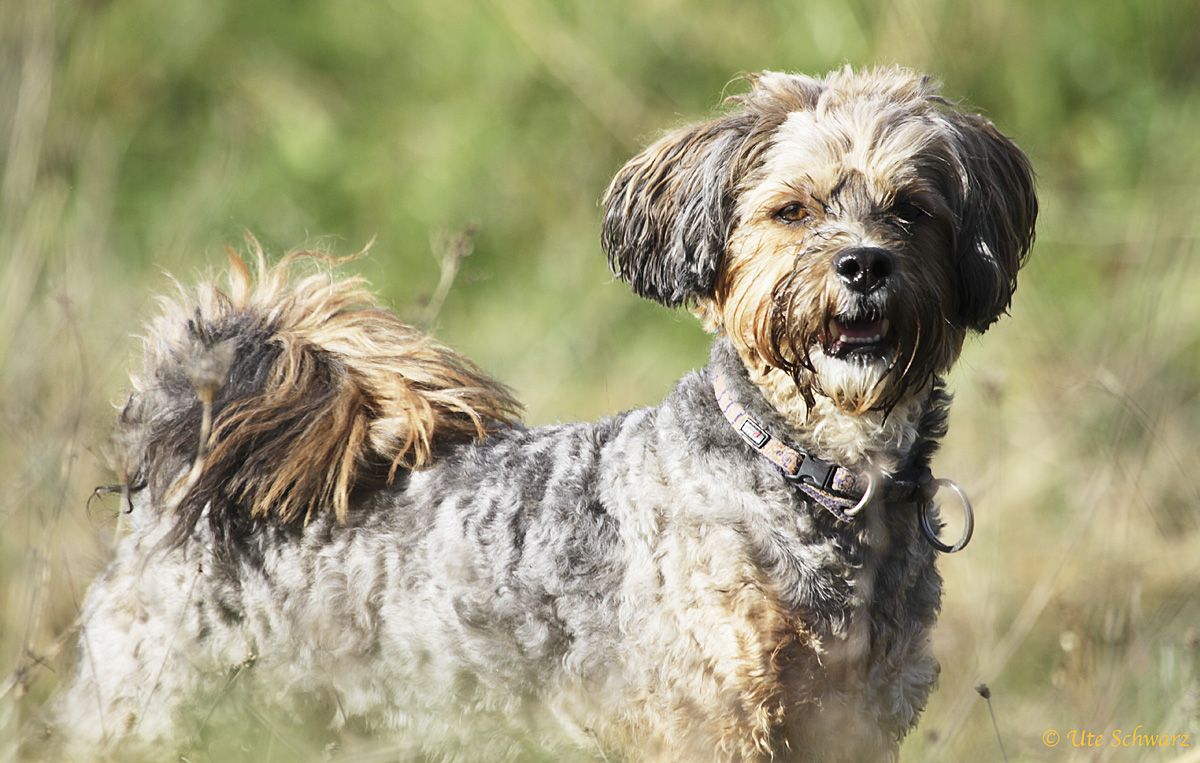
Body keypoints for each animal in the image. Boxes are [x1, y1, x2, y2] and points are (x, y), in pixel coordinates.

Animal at [54, 68, 1032, 758]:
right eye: (792, 211)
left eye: (911, 210)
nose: (864, 264)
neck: (818, 473)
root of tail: (187, 469)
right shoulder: (711, 720)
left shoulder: (856, 723)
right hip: (155, 710)